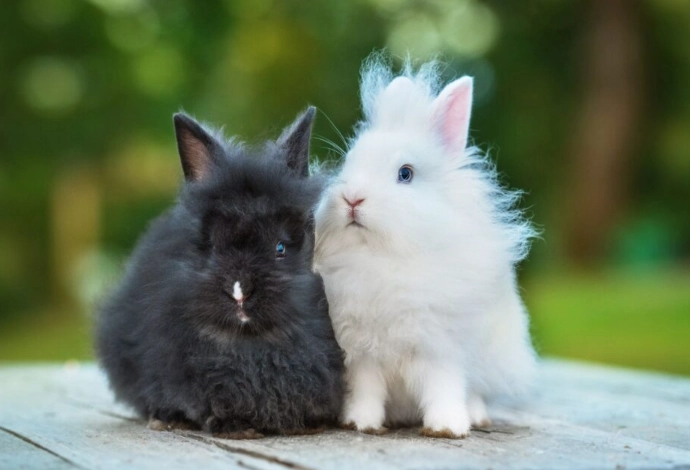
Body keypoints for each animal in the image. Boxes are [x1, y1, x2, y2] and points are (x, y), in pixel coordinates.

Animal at [95, 107, 345, 439]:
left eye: (280, 247)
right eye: (213, 245)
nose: (239, 292)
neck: (251, 343)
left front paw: (306, 425)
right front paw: (234, 427)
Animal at [314, 56, 537, 439]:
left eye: (405, 174)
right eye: (348, 163)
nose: (352, 199)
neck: (381, 259)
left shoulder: (442, 350)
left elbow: (444, 388)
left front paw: (447, 428)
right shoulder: (361, 354)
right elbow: (366, 391)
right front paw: (360, 424)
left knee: (476, 391)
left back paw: (477, 417)